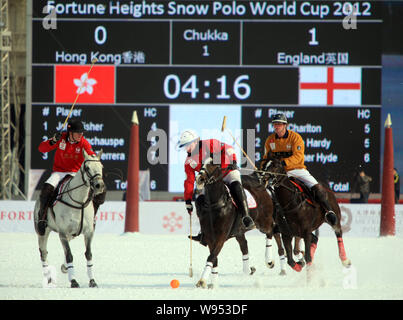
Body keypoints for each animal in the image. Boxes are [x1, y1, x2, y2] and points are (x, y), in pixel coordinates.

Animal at [33, 150, 105, 288]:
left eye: (101, 167)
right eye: (87, 168)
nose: (99, 185)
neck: (79, 201)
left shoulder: (88, 232)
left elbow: (88, 254)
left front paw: (92, 281)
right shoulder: (63, 232)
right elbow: (69, 255)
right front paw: (73, 281)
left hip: (72, 234)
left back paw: (64, 267)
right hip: (43, 231)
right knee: (43, 253)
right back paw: (48, 277)